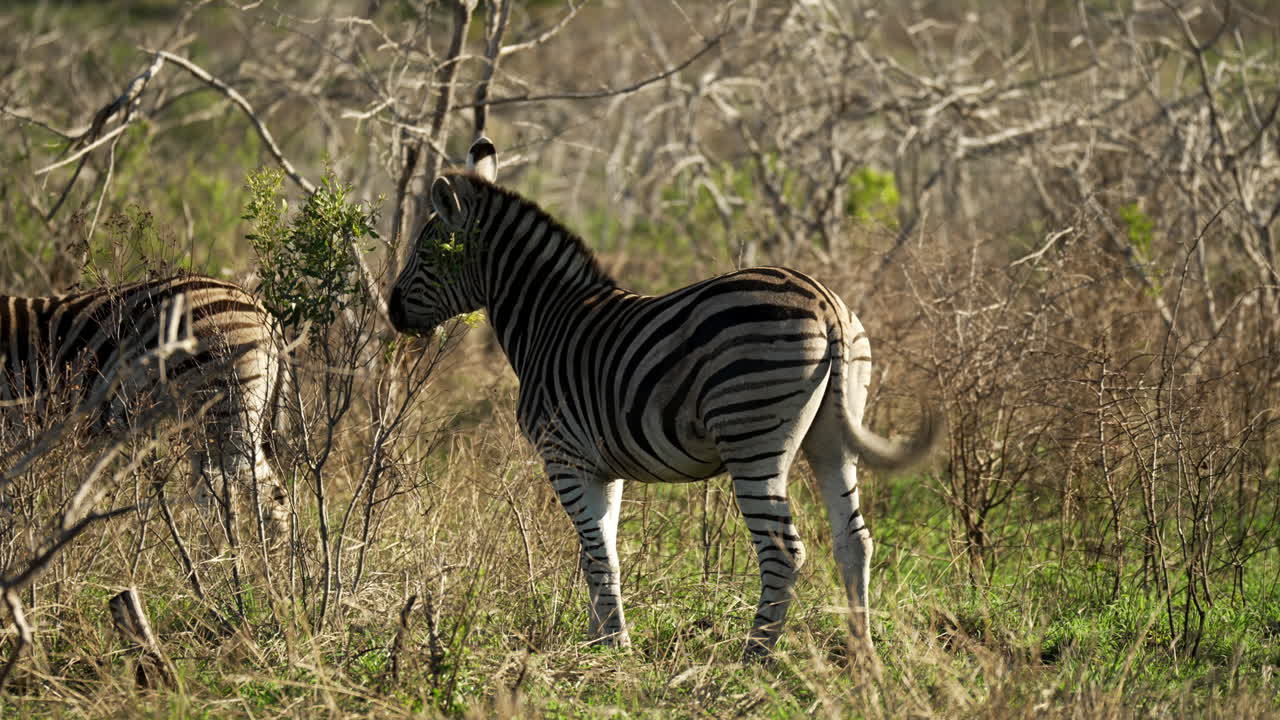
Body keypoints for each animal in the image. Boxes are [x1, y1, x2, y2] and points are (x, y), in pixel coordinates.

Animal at [0, 274, 288, 536]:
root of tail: (261, 308)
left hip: (227, 411)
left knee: (268, 493)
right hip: (205, 421)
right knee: (216, 494)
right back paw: (212, 553)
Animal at [388, 138, 938, 659]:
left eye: (425, 254)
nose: (392, 313)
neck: (549, 319)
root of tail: (825, 305)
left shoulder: (563, 455)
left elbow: (595, 551)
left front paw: (615, 644)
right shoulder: (602, 467)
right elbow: (600, 550)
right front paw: (601, 639)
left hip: (752, 436)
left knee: (783, 550)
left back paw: (755, 656)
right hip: (833, 436)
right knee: (854, 541)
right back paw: (863, 654)